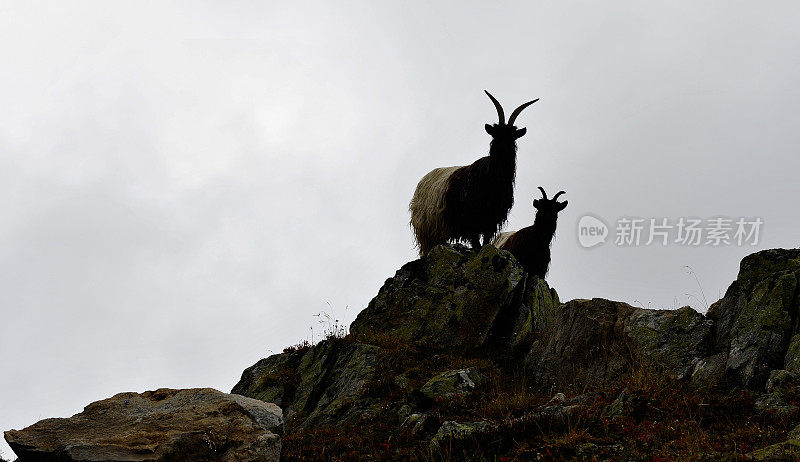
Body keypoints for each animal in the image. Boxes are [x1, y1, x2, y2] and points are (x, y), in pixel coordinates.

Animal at [412, 91, 536, 254]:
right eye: (495, 134)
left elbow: (486, 240)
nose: (502, 149)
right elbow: (475, 241)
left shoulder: (492, 218)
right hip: (426, 228)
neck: (492, 177)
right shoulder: (471, 217)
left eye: (512, 136)